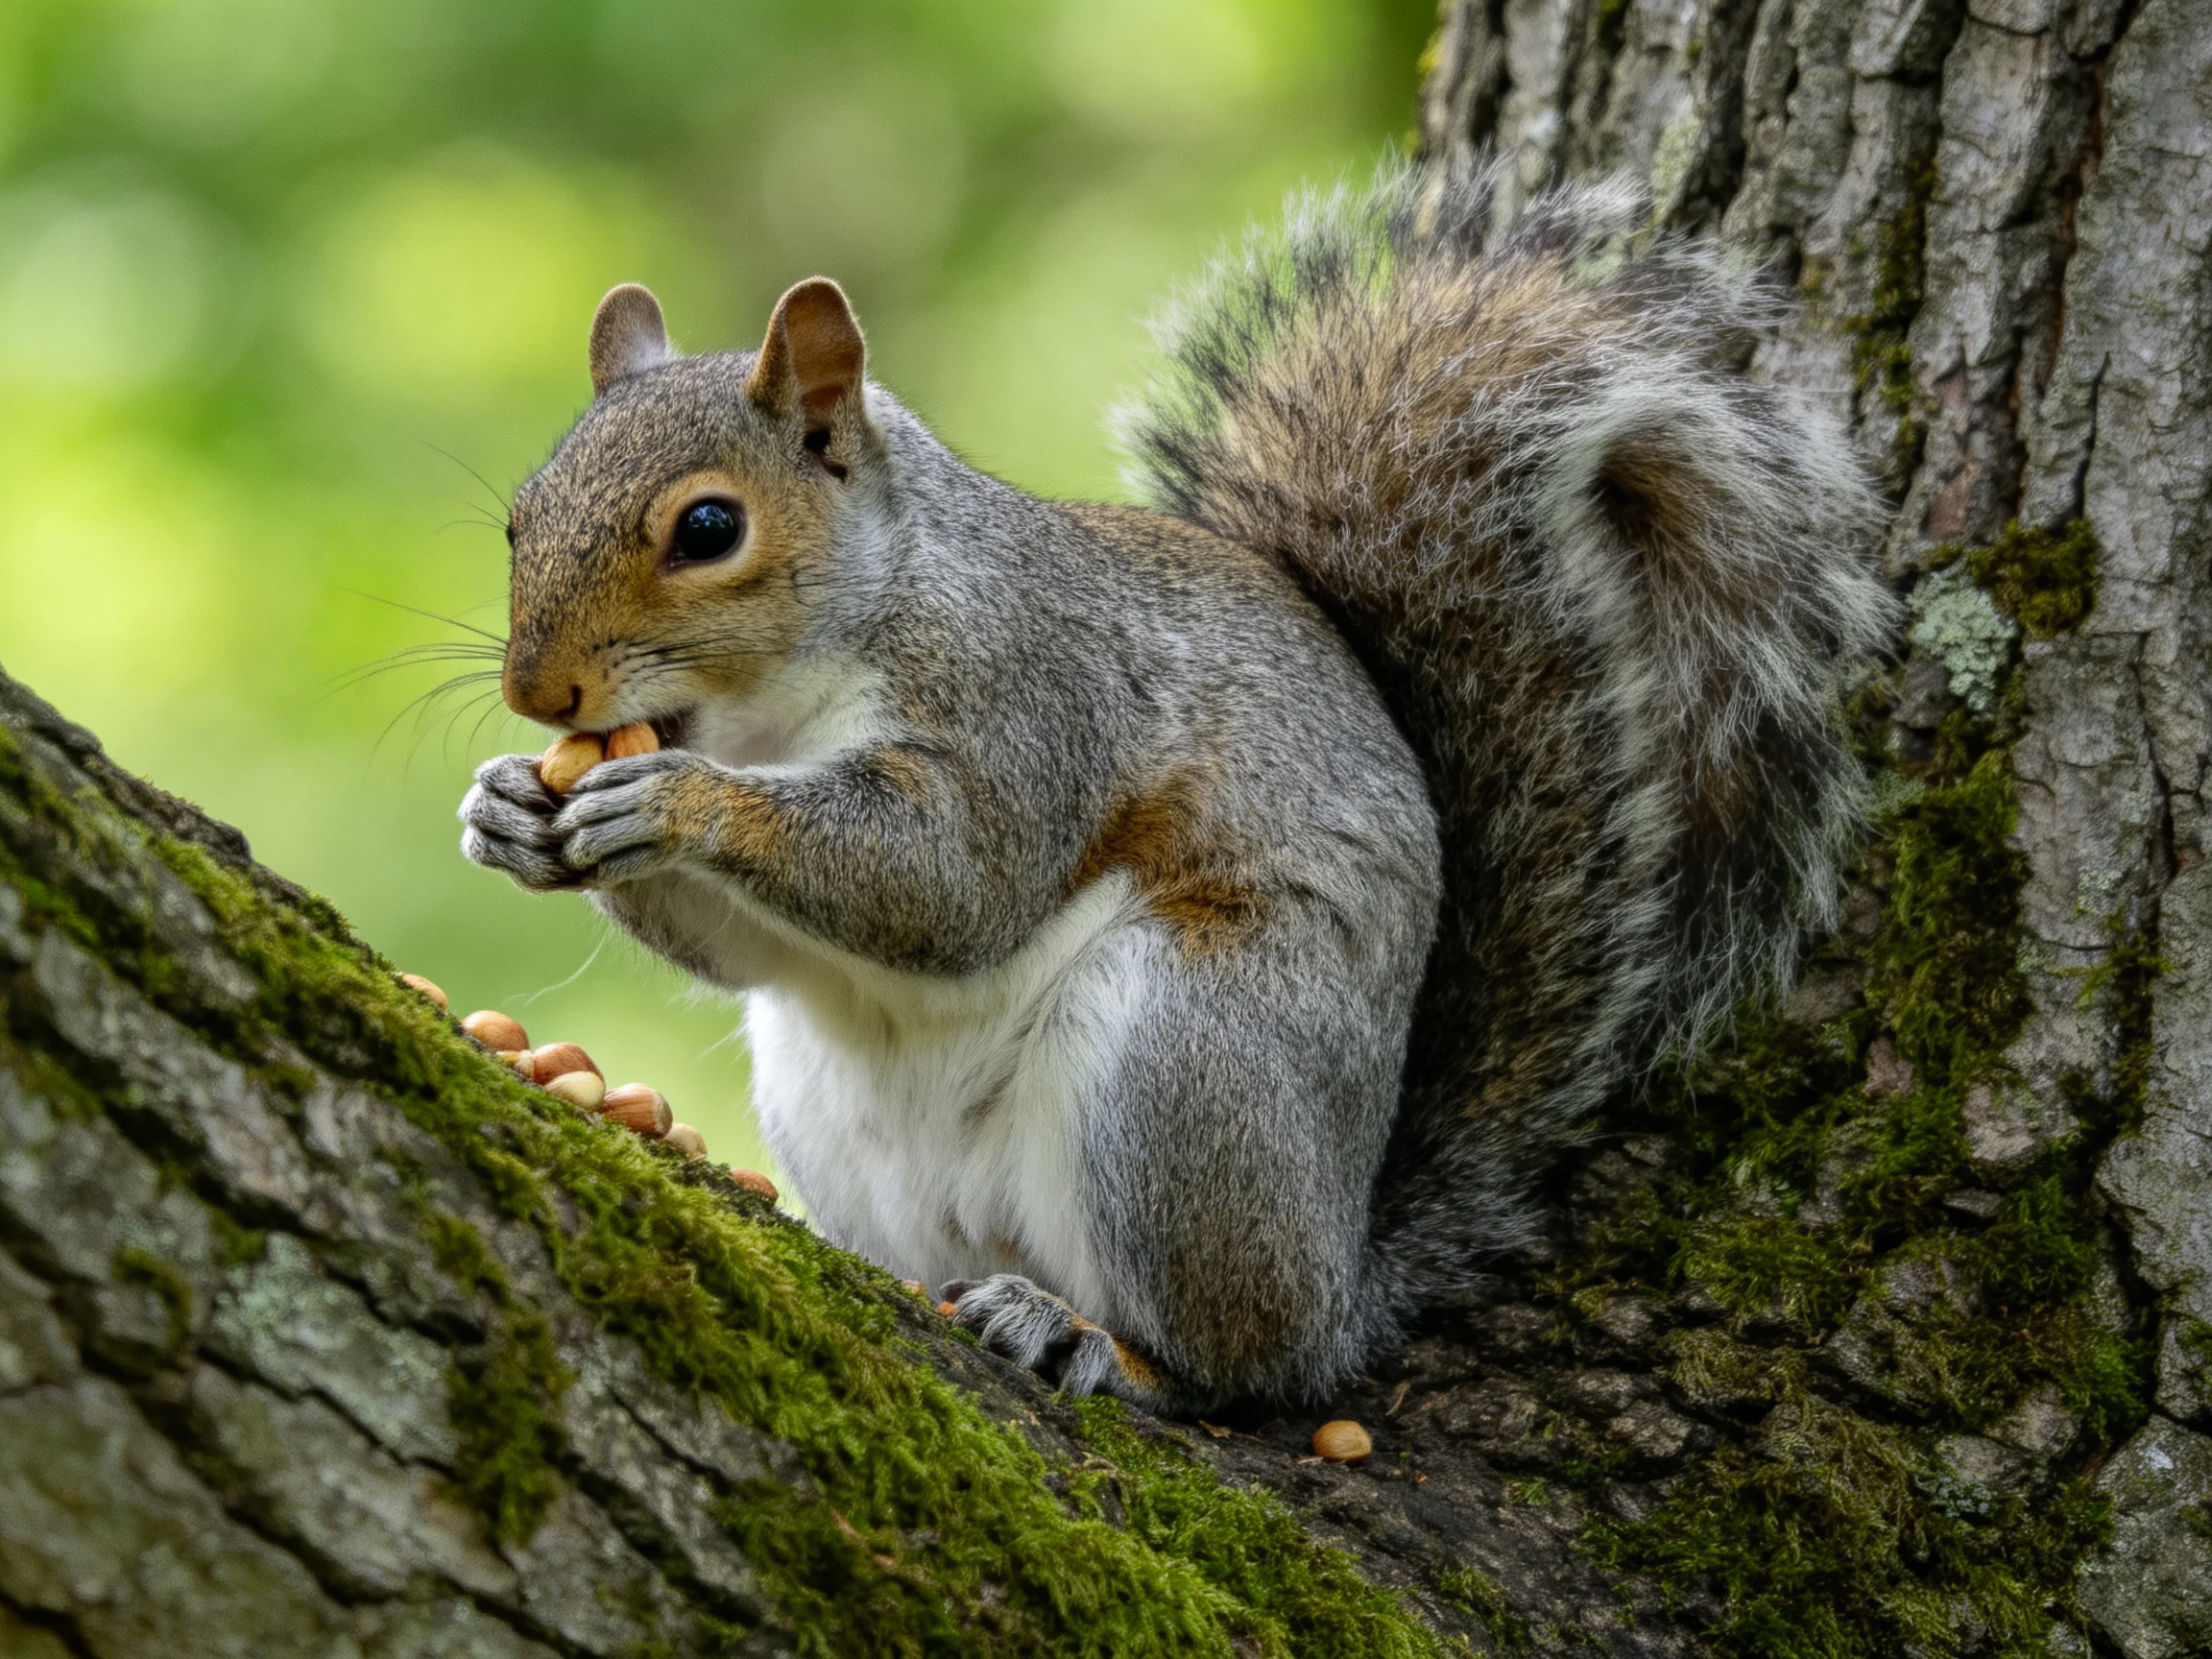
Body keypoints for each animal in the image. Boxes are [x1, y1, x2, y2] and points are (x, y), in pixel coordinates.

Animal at [459, 159, 1896, 1412]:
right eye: (520, 517)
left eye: (710, 528)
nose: (540, 696)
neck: (769, 712)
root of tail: (1342, 1286)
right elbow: (745, 951)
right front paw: (508, 810)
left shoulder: (1035, 697)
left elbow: (951, 885)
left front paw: (679, 803)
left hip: (1186, 1059)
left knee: (1235, 1369)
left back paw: (1099, 1344)